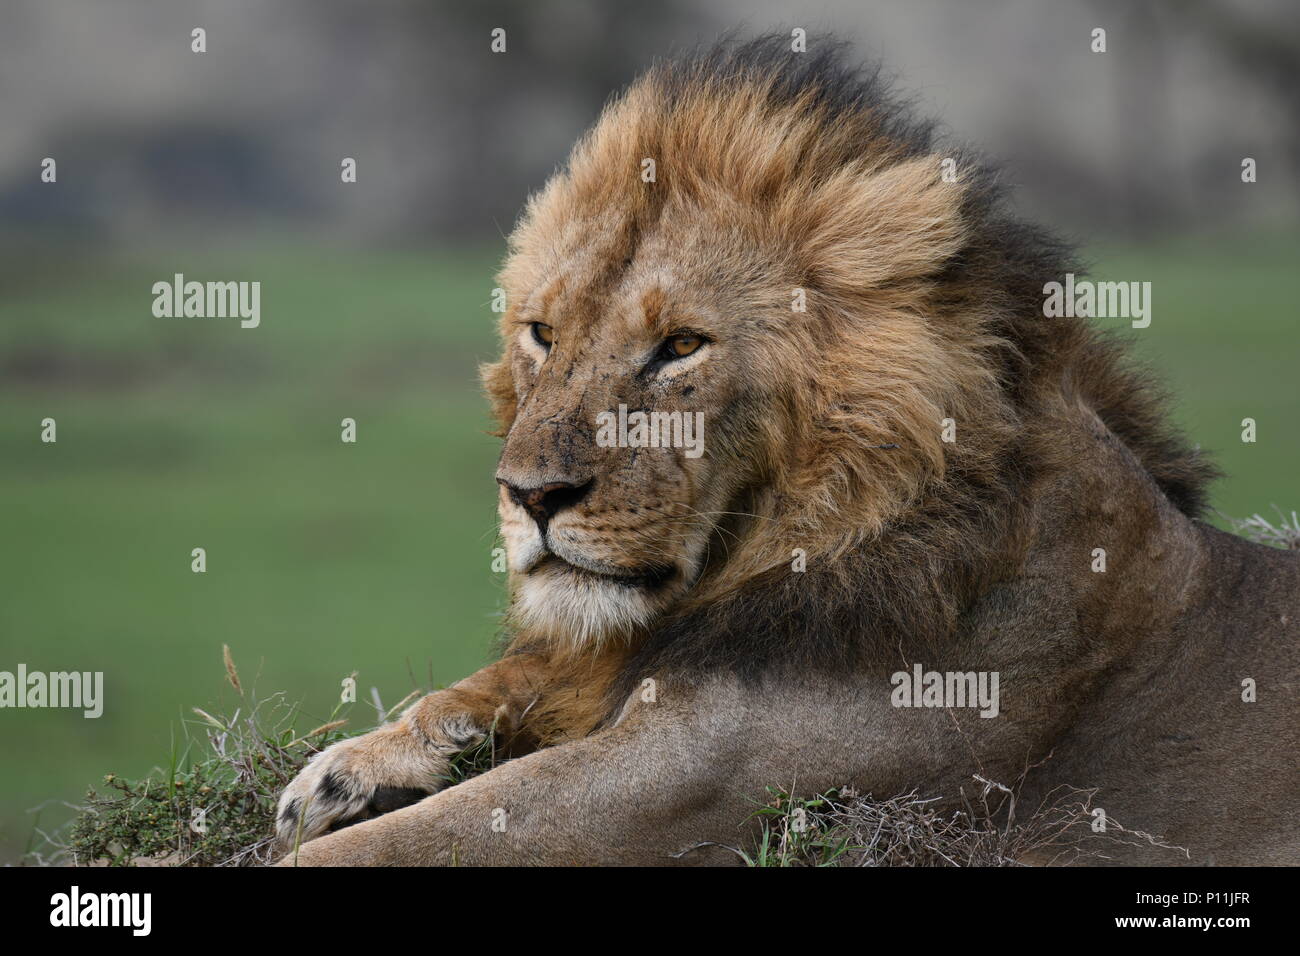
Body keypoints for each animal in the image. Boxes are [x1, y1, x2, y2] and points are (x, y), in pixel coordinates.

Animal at [271, 39, 1289, 868]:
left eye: (681, 346)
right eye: (542, 334)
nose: (528, 495)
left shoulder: (700, 776)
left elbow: (418, 839)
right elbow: (511, 678)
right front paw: (346, 770)